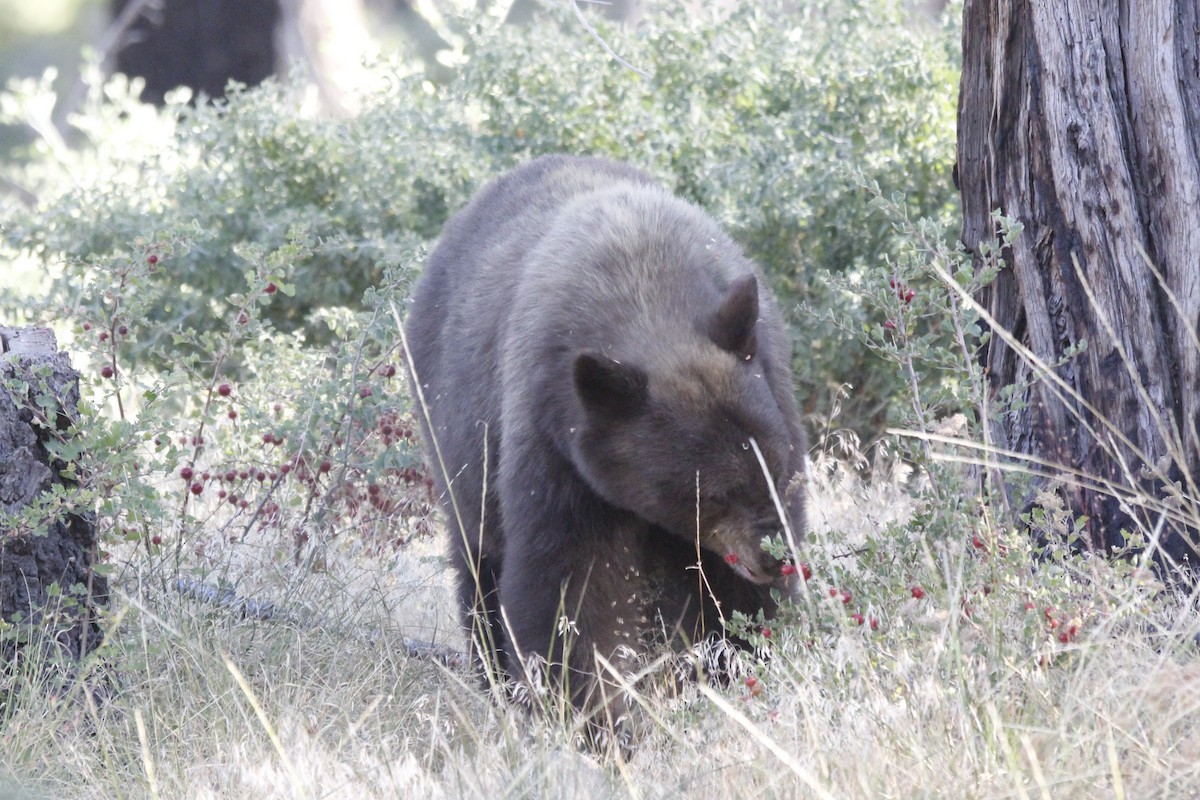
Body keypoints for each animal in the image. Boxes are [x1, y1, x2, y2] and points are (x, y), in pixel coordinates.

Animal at [403, 154, 806, 735]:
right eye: (715, 491)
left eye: (777, 466)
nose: (779, 557)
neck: (646, 297)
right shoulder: (556, 446)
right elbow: (571, 588)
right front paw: (590, 718)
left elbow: (731, 599)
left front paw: (741, 668)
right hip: (456, 442)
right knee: (480, 565)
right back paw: (495, 679)